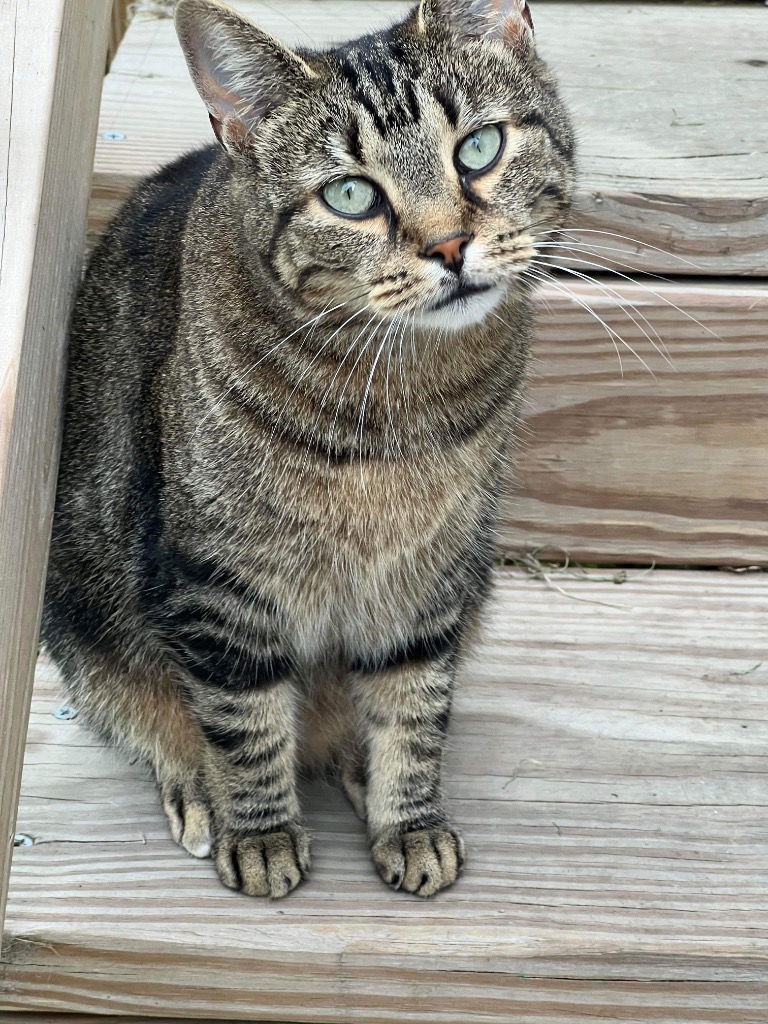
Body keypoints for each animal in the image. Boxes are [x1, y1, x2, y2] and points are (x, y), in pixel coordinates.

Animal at [40, 0, 573, 897]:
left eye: (478, 148)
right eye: (351, 195)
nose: (449, 247)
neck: (399, 405)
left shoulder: (428, 579)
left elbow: (413, 705)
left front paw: (409, 820)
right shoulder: (218, 582)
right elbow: (242, 718)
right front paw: (259, 834)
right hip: (84, 620)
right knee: (154, 715)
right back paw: (200, 790)